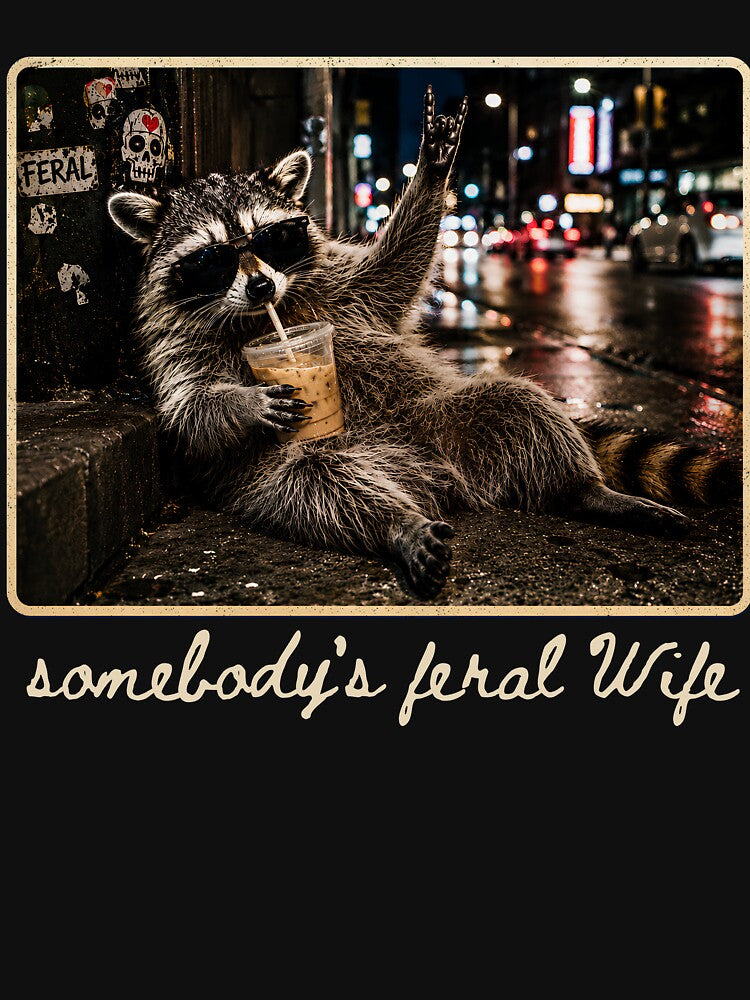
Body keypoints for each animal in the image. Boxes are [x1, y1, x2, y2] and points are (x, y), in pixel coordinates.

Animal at [108, 85, 735, 599]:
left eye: (275, 238)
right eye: (212, 261)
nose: (261, 284)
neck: (270, 317)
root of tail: (427, 473)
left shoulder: (340, 287)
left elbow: (392, 274)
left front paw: (431, 172)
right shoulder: (172, 340)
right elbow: (186, 409)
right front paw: (242, 402)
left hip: (435, 415)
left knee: (518, 406)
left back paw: (584, 489)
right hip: (280, 470)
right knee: (315, 481)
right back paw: (396, 523)